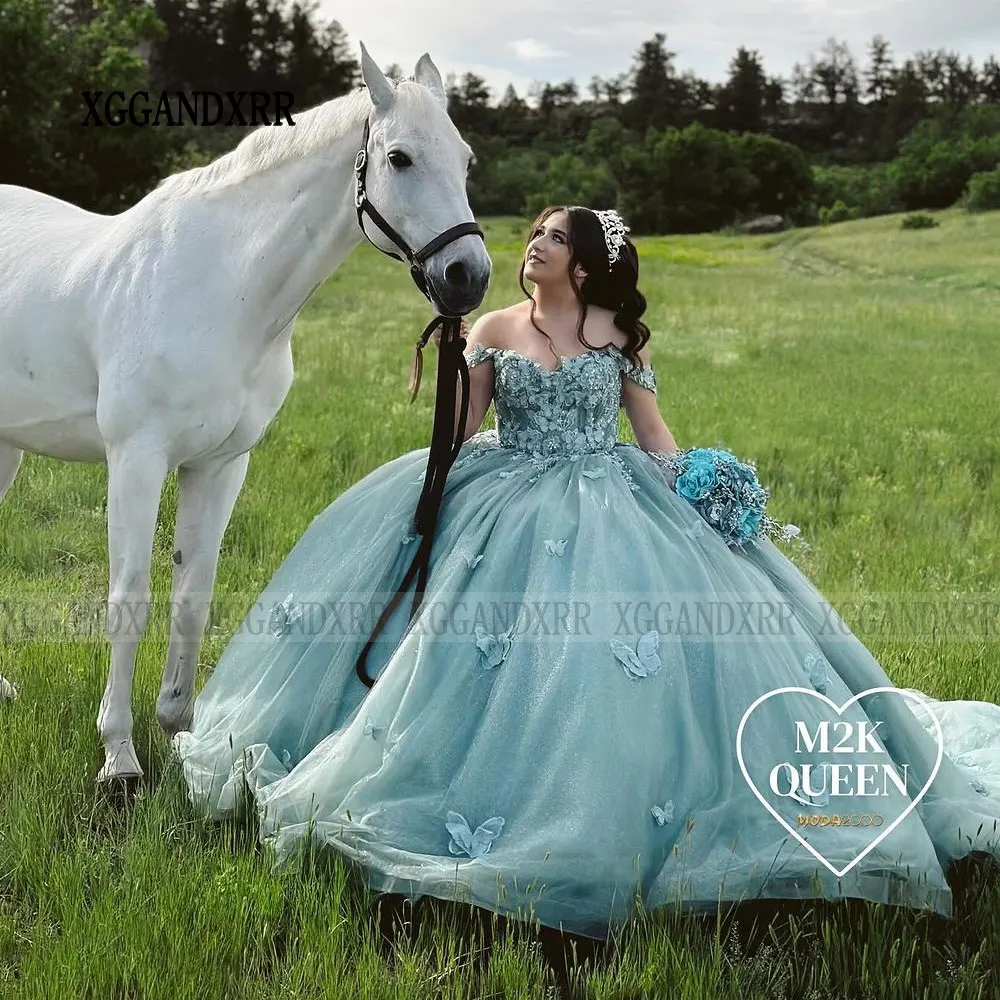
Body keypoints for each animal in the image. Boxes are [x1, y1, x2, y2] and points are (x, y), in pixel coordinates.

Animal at [0, 43, 492, 780]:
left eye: (465, 160)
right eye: (400, 157)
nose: (468, 276)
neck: (219, 286)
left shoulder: (222, 464)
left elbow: (193, 596)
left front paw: (181, 735)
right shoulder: (137, 458)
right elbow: (130, 598)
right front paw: (119, 757)